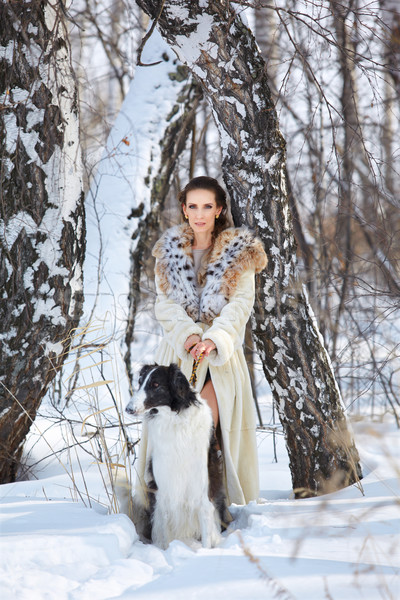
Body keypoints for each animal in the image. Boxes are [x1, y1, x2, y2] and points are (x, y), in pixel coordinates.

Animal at [126, 364, 228, 552]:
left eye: (156, 384)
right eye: (140, 382)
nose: (128, 409)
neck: (175, 421)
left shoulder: (202, 494)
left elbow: (206, 535)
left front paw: (206, 554)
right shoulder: (165, 492)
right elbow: (165, 536)